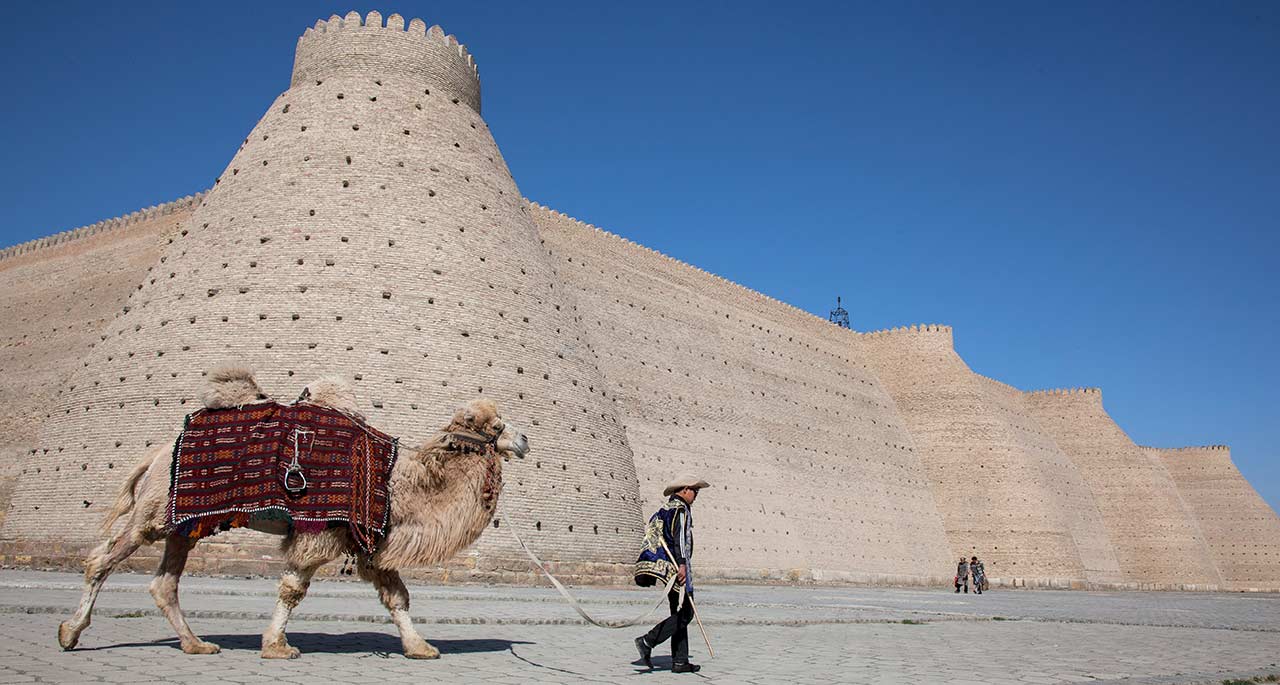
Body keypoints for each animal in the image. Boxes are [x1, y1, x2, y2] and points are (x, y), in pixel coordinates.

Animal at [57, 366, 527, 660]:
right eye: (496, 425)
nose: (523, 440)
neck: (396, 481)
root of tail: (156, 453)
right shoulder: (322, 532)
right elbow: (292, 588)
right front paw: (276, 646)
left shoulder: (371, 538)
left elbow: (397, 596)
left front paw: (420, 647)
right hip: (152, 514)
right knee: (102, 559)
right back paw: (70, 632)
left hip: (182, 524)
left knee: (164, 584)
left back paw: (196, 645)